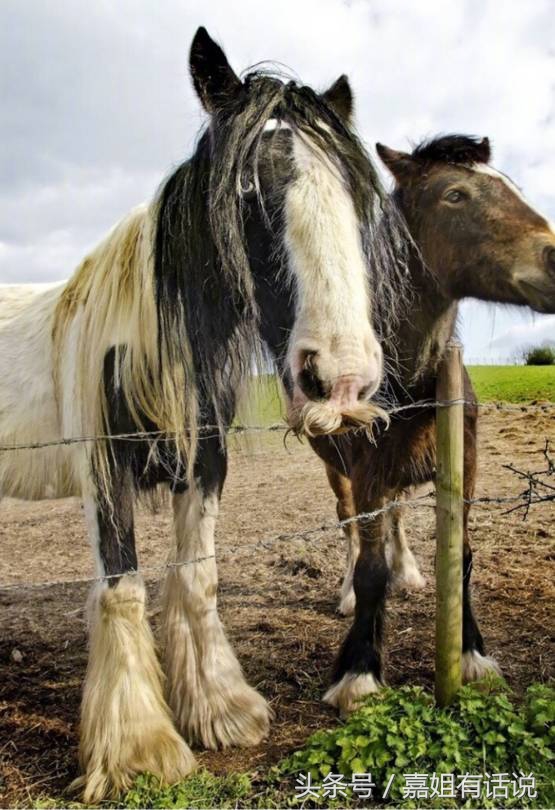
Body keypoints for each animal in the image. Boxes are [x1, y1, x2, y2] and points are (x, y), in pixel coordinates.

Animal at [0, 26, 404, 800]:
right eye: (245, 188)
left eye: (352, 190)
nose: (341, 379)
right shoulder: (103, 476)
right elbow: (122, 588)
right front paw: (139, 748)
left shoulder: (205, 464)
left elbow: (196, 577)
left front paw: (219, 709)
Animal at [310, 136, 555, 712]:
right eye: (454, 194)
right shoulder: (366, 470)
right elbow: (369, 568)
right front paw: (358, 673)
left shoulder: (464, 464)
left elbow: (461, 556)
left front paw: (472, 657)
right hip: (338, 472)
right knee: (349, 526)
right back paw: (346, 593)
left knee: (395, 517)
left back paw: (410, 571)